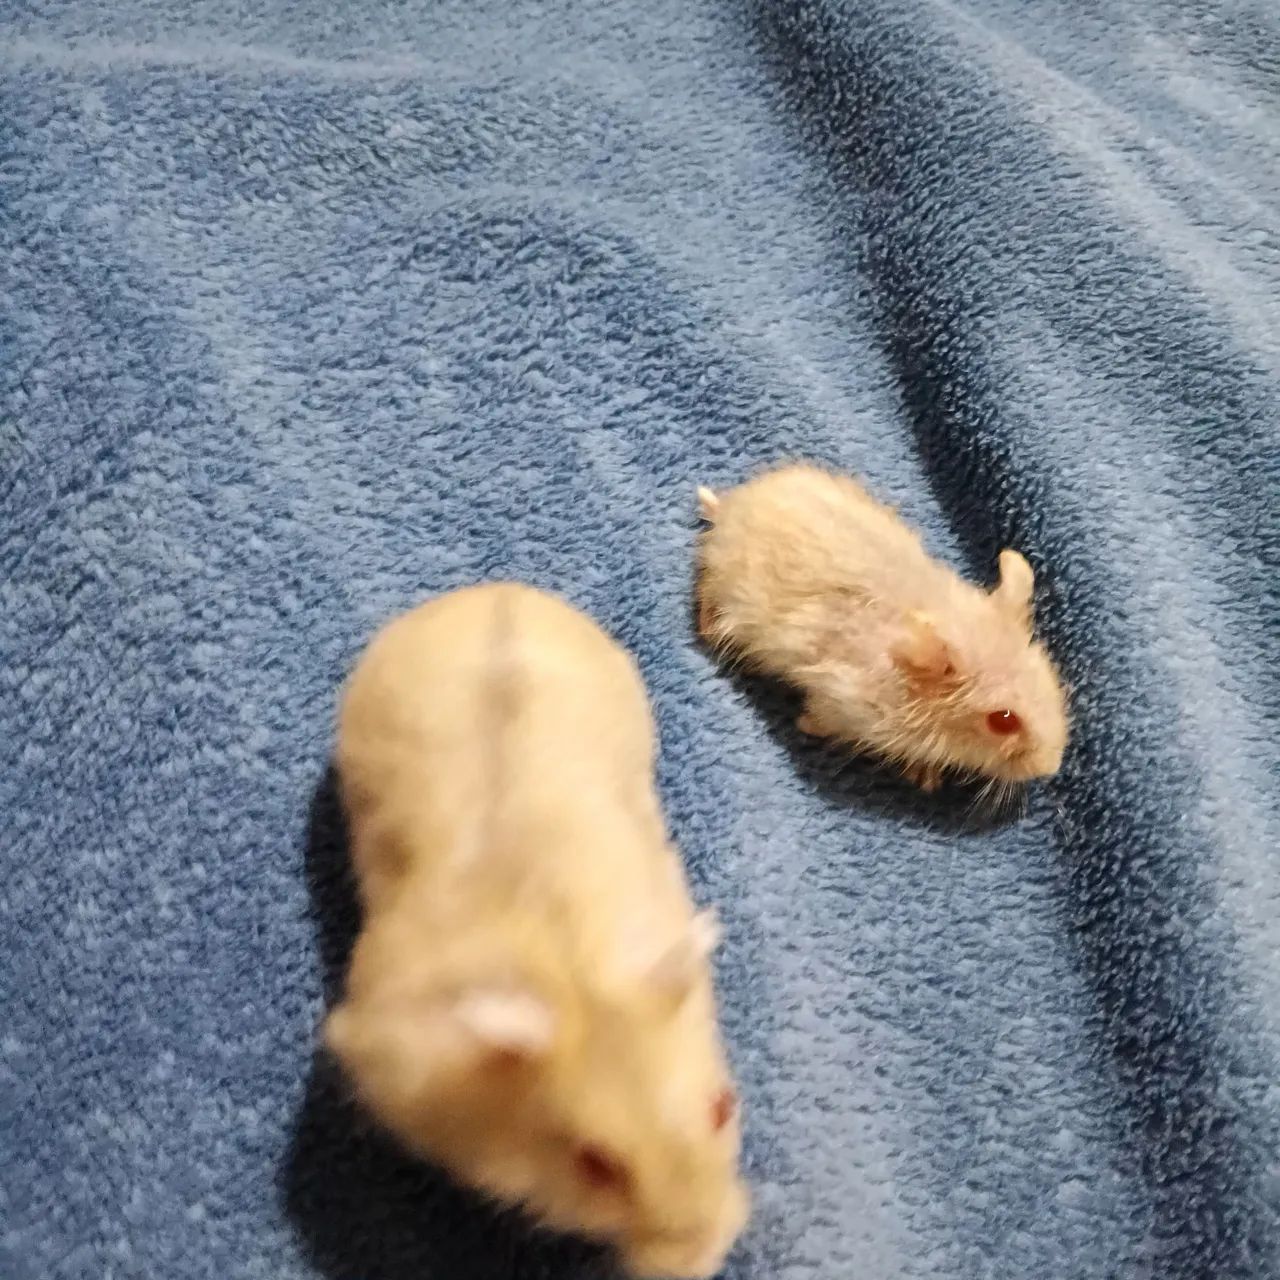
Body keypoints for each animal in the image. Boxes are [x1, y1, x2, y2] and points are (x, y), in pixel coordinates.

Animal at [695, 464, 1069, 793]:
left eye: (1051, 682)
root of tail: (728, 508)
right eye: (1003, 720)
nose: (1049, 768)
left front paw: (927, 776)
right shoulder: (841, 702)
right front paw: (807, 726)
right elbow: (820, 721)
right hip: (724, 590)